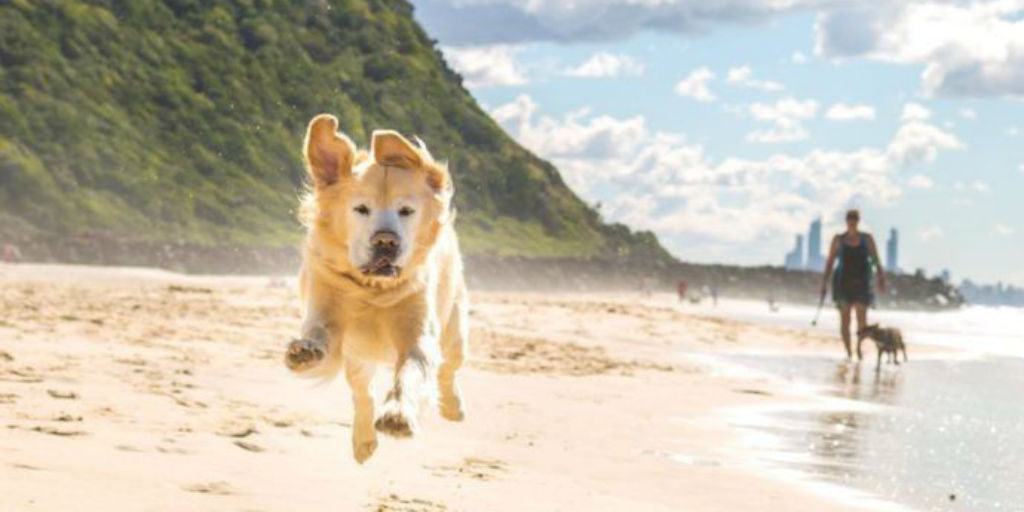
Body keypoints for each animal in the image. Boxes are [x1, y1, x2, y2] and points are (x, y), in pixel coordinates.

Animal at [284, 115, 468, 464]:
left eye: (406, 211)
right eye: (361, 209)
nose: (386, 241)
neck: (372, 290)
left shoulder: (418, 334)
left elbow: (411, 372)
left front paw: (398, 414)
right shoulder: (326, 307)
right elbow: (319, 333)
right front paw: (305, 351)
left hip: (454, 332)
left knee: (448, 370)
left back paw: (453, 408)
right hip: (358, 355)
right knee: (361, 392)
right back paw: (363, 440)